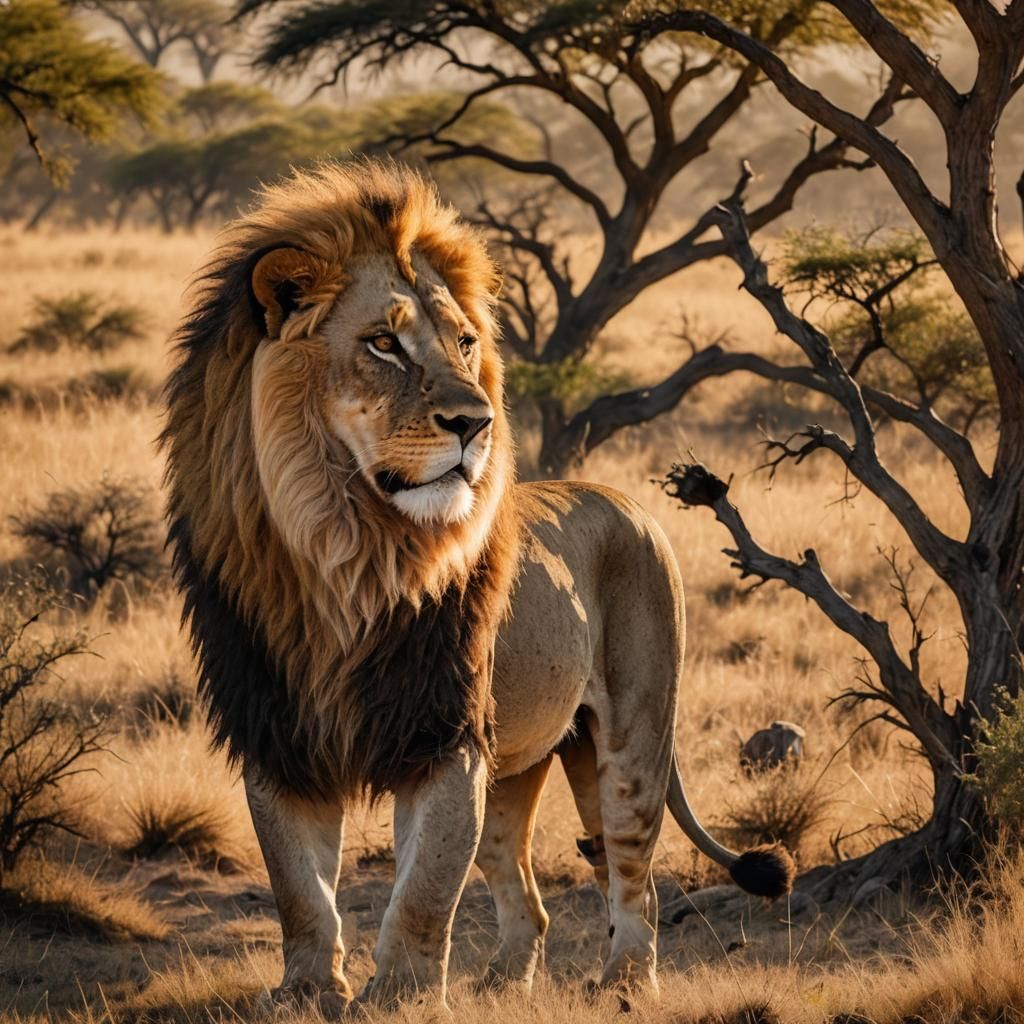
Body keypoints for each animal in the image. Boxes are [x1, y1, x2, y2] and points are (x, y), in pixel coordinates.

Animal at [162, 159, 795, 1010]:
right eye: (384, 343)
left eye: (465, 342)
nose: (477, 422)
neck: (345, 554)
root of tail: (627, 500)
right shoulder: (278, 733)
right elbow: (298, 887)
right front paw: (305, 993)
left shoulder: (443, 734)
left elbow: (424, 888)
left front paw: (399, 998)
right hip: (526, 765)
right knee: (529, 893)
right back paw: (505, 983)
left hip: (632, 737)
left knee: (637, 876)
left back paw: (625, 983)